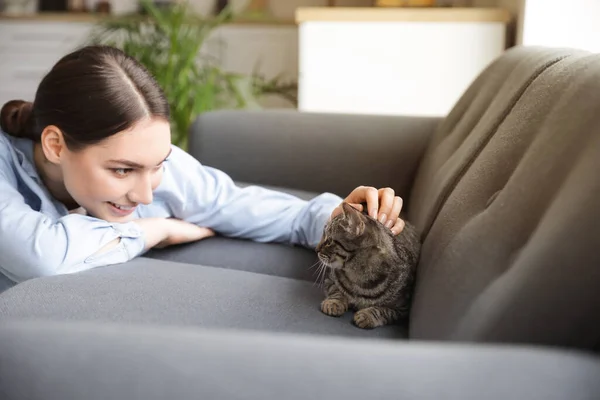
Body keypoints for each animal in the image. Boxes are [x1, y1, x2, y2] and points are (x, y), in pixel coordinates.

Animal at [314, 202, 422, 330]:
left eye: (329, 241)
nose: (316, 249)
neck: (358, 278)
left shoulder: (402, 308)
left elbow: (384, 311)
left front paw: (367, 316)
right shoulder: (330, 279)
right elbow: (336, 291)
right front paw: (333, 303)